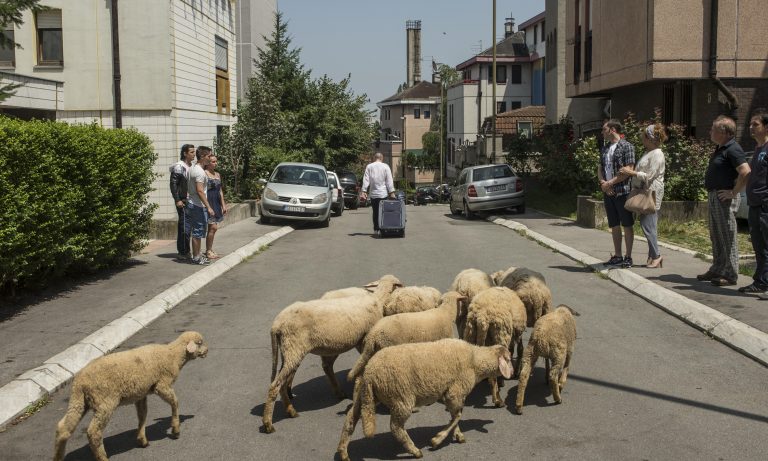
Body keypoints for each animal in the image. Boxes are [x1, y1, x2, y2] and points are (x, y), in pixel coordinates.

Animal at [53, 331, 208, 461]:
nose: (207, 350)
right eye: (200, 342)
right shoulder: (161, 385)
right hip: (105, 402)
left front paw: (142, 440)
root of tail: (79, 382)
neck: (173, 355)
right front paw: (176, 430)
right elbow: (175, 402)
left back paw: (58, 456)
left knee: (63, 428)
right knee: (93, 432)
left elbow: (142, 415)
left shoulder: (141, 394)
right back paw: (103, 457)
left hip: (79, 402)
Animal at [262, 274, 402, 434]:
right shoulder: (365, 339)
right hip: (294, 347)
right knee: (276, 385)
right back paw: (268, 424)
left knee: (287, 380)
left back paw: (292, 410)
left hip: (291, 349)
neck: (377, 299)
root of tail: (276, 324)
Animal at [337, 339, 513, 461]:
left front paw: (458, 435)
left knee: (350, 418)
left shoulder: (451, 393)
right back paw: (415, 451)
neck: (475, 359)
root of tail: (369, 372)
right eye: (509, 359)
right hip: (401, 397)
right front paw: (437, 440)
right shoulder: (455, 392)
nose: (511, 373)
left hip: (367, 396)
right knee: (395, 427)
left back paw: (343, 451)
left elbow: (455, 416)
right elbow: (457, 416)